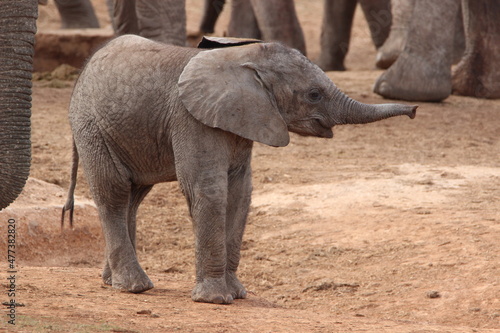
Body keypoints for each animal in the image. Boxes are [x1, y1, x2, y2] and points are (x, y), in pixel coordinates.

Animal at [60, 35, 416, 302]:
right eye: (314, 95)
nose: (413, 110)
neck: (240, 60)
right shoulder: (191, 118)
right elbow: (210, 190)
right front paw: (215, 299)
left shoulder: (242, 120)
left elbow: (241, 193)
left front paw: (238, 294)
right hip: (91, 125)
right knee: (115, 192)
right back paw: (134, 287)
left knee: (133, 197)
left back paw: (112, 282)